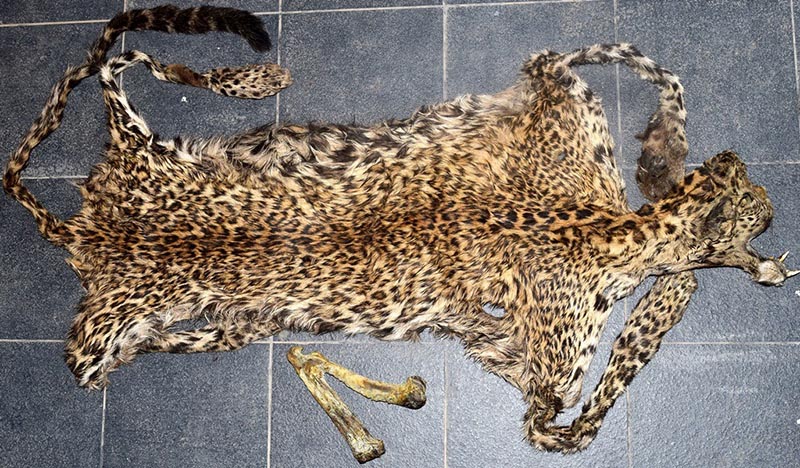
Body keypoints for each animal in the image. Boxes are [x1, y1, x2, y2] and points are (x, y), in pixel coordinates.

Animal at [4, 4, 797, 455]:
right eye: (756, 206)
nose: (770, 202)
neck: (611, 224)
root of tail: (81, 228)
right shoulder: (552, 384)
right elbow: (573, 417)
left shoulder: (557, 95)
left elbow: (634, 66)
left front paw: (672, 171)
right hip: (101, 339)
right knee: (116, 57)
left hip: (142, 155)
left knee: (117, 57)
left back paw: (258, 93)